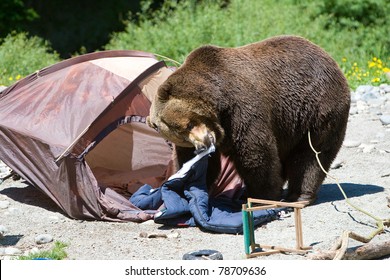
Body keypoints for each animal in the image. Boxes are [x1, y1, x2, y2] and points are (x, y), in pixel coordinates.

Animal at [148, 36, 352, 205]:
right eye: (182, 135)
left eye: (189, 124)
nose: (203, 143)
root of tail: (328, 56)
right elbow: (195, 162)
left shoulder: (241, 108)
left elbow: (255, 153)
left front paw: (260, 195)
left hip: (316, 107)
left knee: (312, 153)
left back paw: (299, 195)